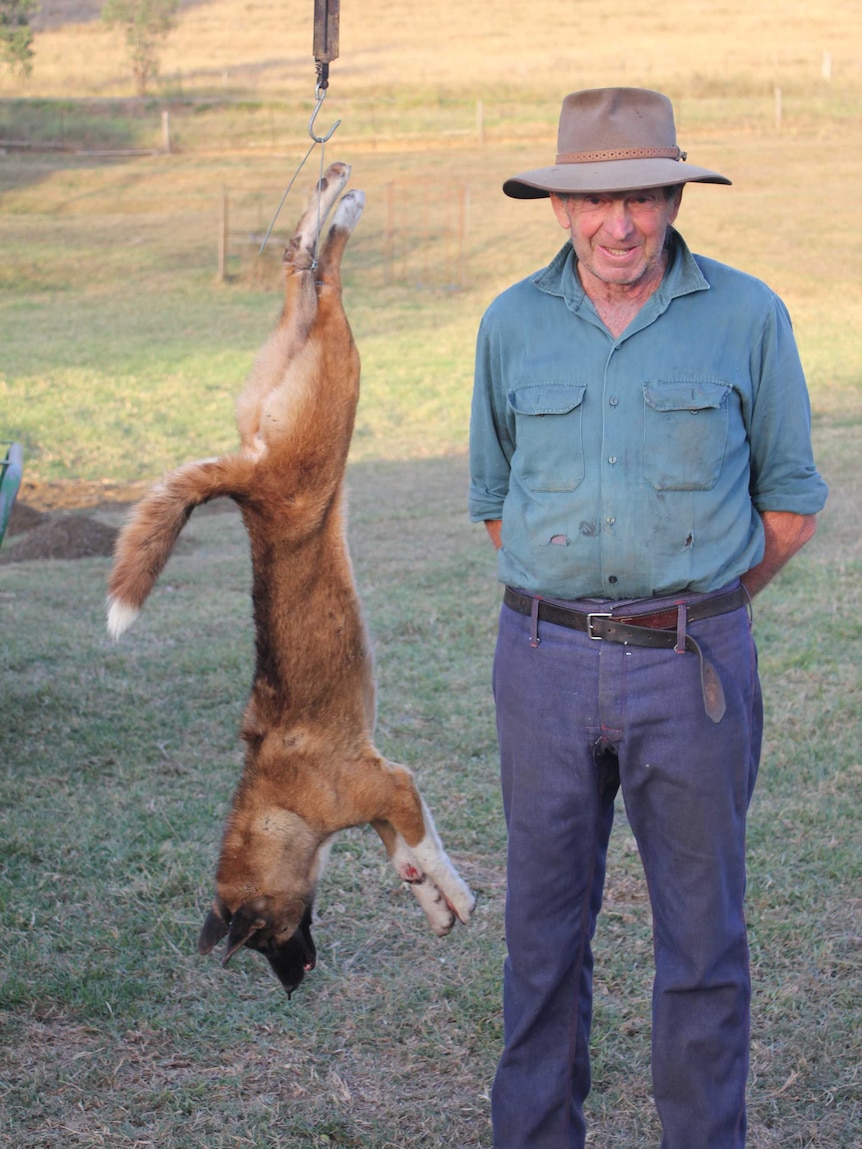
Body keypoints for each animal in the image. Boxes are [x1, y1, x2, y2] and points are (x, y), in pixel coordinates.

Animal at [106, 162, 480, 997]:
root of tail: (246, 477)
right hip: (313, 382)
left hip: (332, 399)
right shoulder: (385, 793)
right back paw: (335, 203)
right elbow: (409, 855)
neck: (279, 801)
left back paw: (340, 205)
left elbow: (426, 847)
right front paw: (436, 904)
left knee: (321, 284)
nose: (292, 983)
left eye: (265, 933)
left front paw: (453, 893)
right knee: (305, 279)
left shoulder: (392, 786)